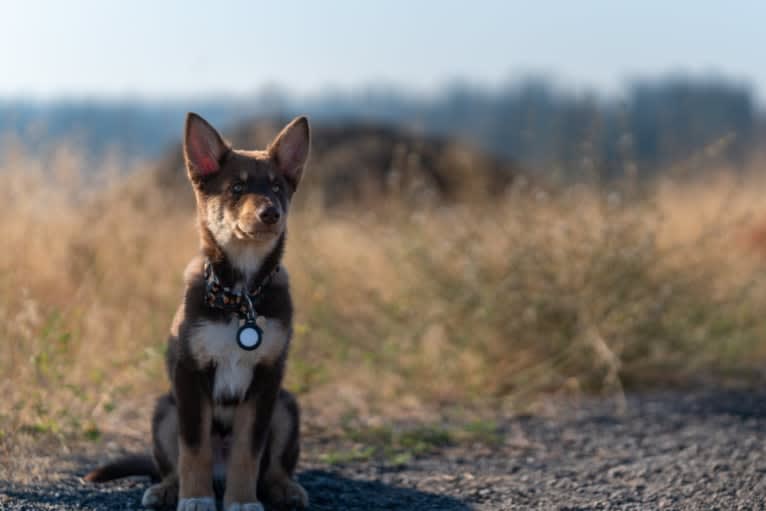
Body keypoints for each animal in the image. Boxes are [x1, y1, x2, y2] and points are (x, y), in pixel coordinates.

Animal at [86, 113, 308, 511]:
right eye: (237, 188)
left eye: (278, 188)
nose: (271, 213)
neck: (241, 295)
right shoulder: (189, 374)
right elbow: (193, 449)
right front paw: (196, 498)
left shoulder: (267, 378)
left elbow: (248, 451)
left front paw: (242, 501)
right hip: (165, 410)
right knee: (172, 464)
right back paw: (167, 489)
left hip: (286, 405)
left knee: (272, 467)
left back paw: (284, 488)